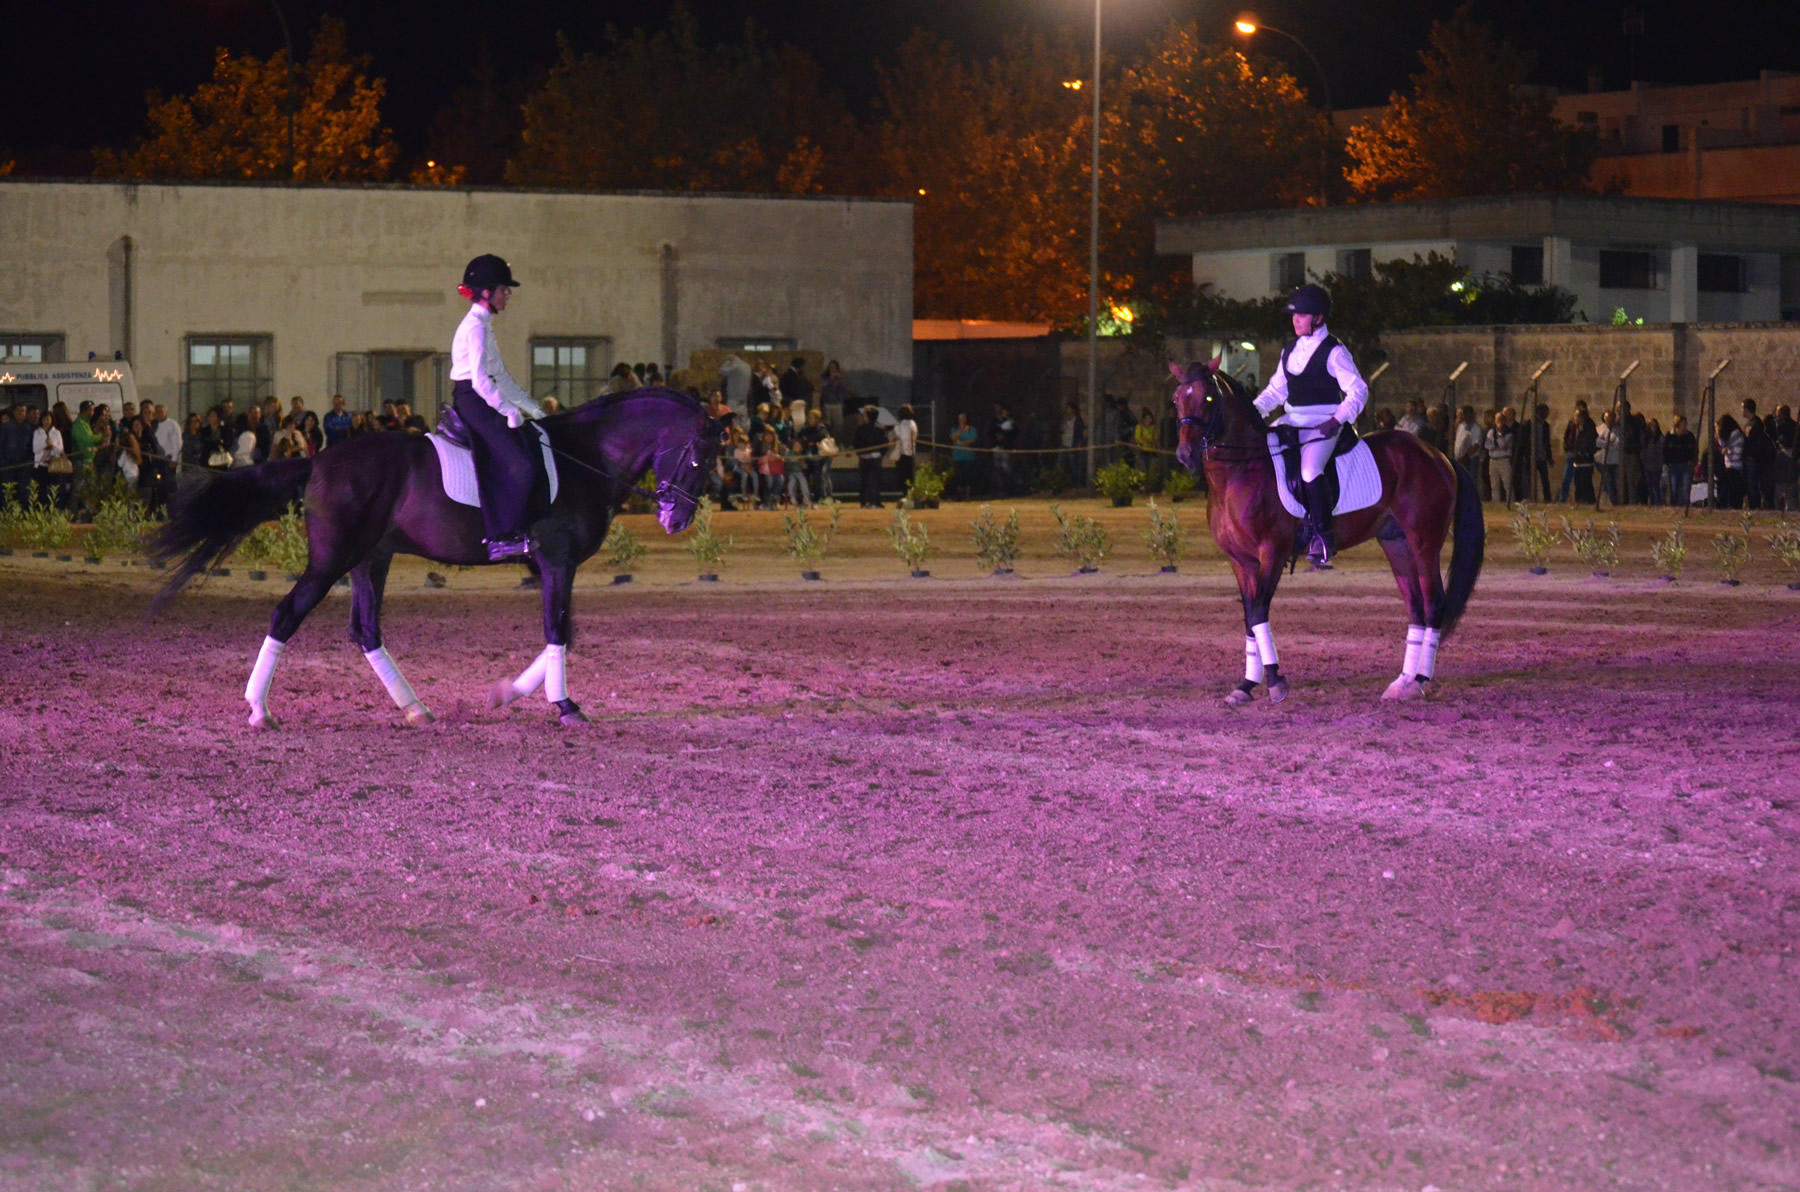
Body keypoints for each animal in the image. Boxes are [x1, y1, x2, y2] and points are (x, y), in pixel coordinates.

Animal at [150, 387, 723, 729]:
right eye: (700, 454)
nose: (677, 519)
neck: (583, 458)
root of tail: (319, 459)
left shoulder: (546, 566)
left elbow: (565, 632)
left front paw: (508, 693)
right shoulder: (558, 562)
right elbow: (559, 630)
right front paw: (564, 706)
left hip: (370, 559)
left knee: (366, 629)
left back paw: (414, 707)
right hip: (333, 560)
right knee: (287, 613)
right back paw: (259, 709)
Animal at [1170, 359, 1484, 704]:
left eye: (1208, 397)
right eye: (1176, 399)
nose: (1185, 455)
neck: (1241, 471)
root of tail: (1437, 454)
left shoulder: (1273, 553)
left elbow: (1259, 609)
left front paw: (1275, 681)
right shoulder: (1241, 562)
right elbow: (1249, 616)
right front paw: (1246, 685)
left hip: (1424, 542)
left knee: (1434, 603)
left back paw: (1419, 681)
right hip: (1396, 543)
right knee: (1415, 606)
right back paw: (1401, 682)